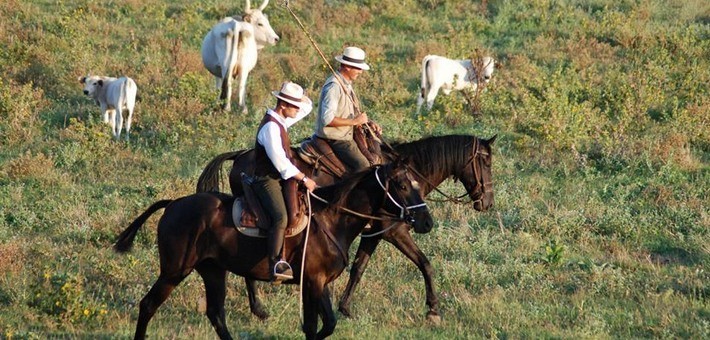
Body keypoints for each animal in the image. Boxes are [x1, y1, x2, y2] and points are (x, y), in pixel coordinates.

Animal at [114, 160, 434, 340]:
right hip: (174, 271)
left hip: (213, 271)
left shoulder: (319, 283)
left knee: (216, 314)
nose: (426, 221)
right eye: (402, 185)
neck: (332, 218)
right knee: (148, 305)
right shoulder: (313, 282)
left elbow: (327, 324)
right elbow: (312, 327)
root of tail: (173, 204)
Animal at [195, 133, 496, 322]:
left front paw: (345, 307)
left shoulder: (373, 234)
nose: (488, 202)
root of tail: (239, 156)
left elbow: (359, 267)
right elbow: (425, 263)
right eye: (485, 161)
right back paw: (259, 309)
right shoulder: (393, 232)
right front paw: (433, 309)